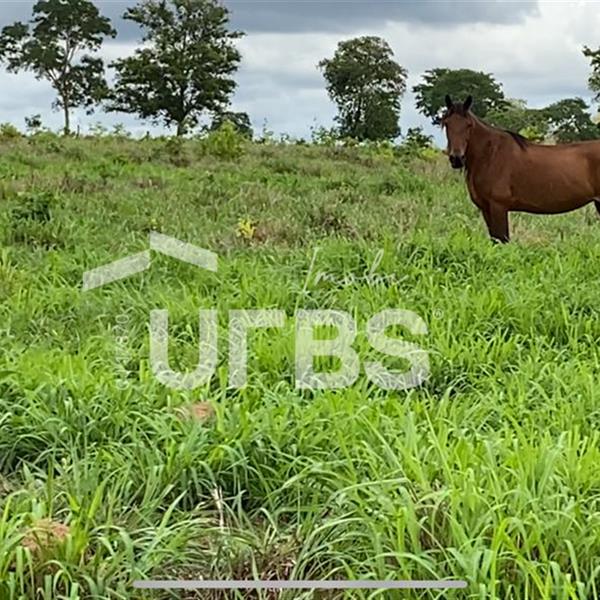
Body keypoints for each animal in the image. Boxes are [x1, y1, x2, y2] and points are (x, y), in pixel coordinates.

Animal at [441, 94, 600, 243]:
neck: (490, 155)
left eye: (468, 125)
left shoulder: (498, 207)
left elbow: (502, 240)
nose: (456, 158)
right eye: (447, 124)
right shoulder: (486, 208)